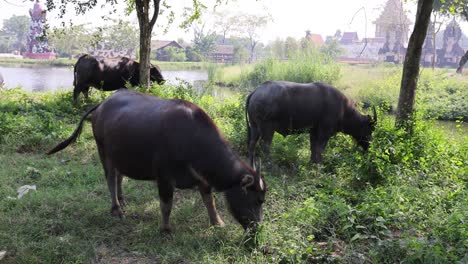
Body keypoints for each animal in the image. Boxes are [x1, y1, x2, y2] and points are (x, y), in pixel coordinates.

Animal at [48, 89, 266, 233]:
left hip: (119, 155)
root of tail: (102, 104)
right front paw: (165, 229)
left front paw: (217, 222)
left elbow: (209, 201)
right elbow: (166, 204)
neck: (191, 138)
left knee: (119, 176)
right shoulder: (164, 177)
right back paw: (116, 209)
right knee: (110, 178)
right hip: (103, 151)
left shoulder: (202, 178)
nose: (257, 228)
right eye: (256, 200)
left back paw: (122, 200)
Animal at [245, 81, 376, 163]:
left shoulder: (313, 131)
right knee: (265, 146)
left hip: (254, 127)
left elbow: (313, 147)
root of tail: (255, 91)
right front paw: (319, 165)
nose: (370, 146)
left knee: (252, 144)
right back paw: (271, 164)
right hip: (267, 129)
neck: (343, 109)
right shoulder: (324, 133)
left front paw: (312, 162)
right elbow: (320, 149)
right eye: (370, 129)